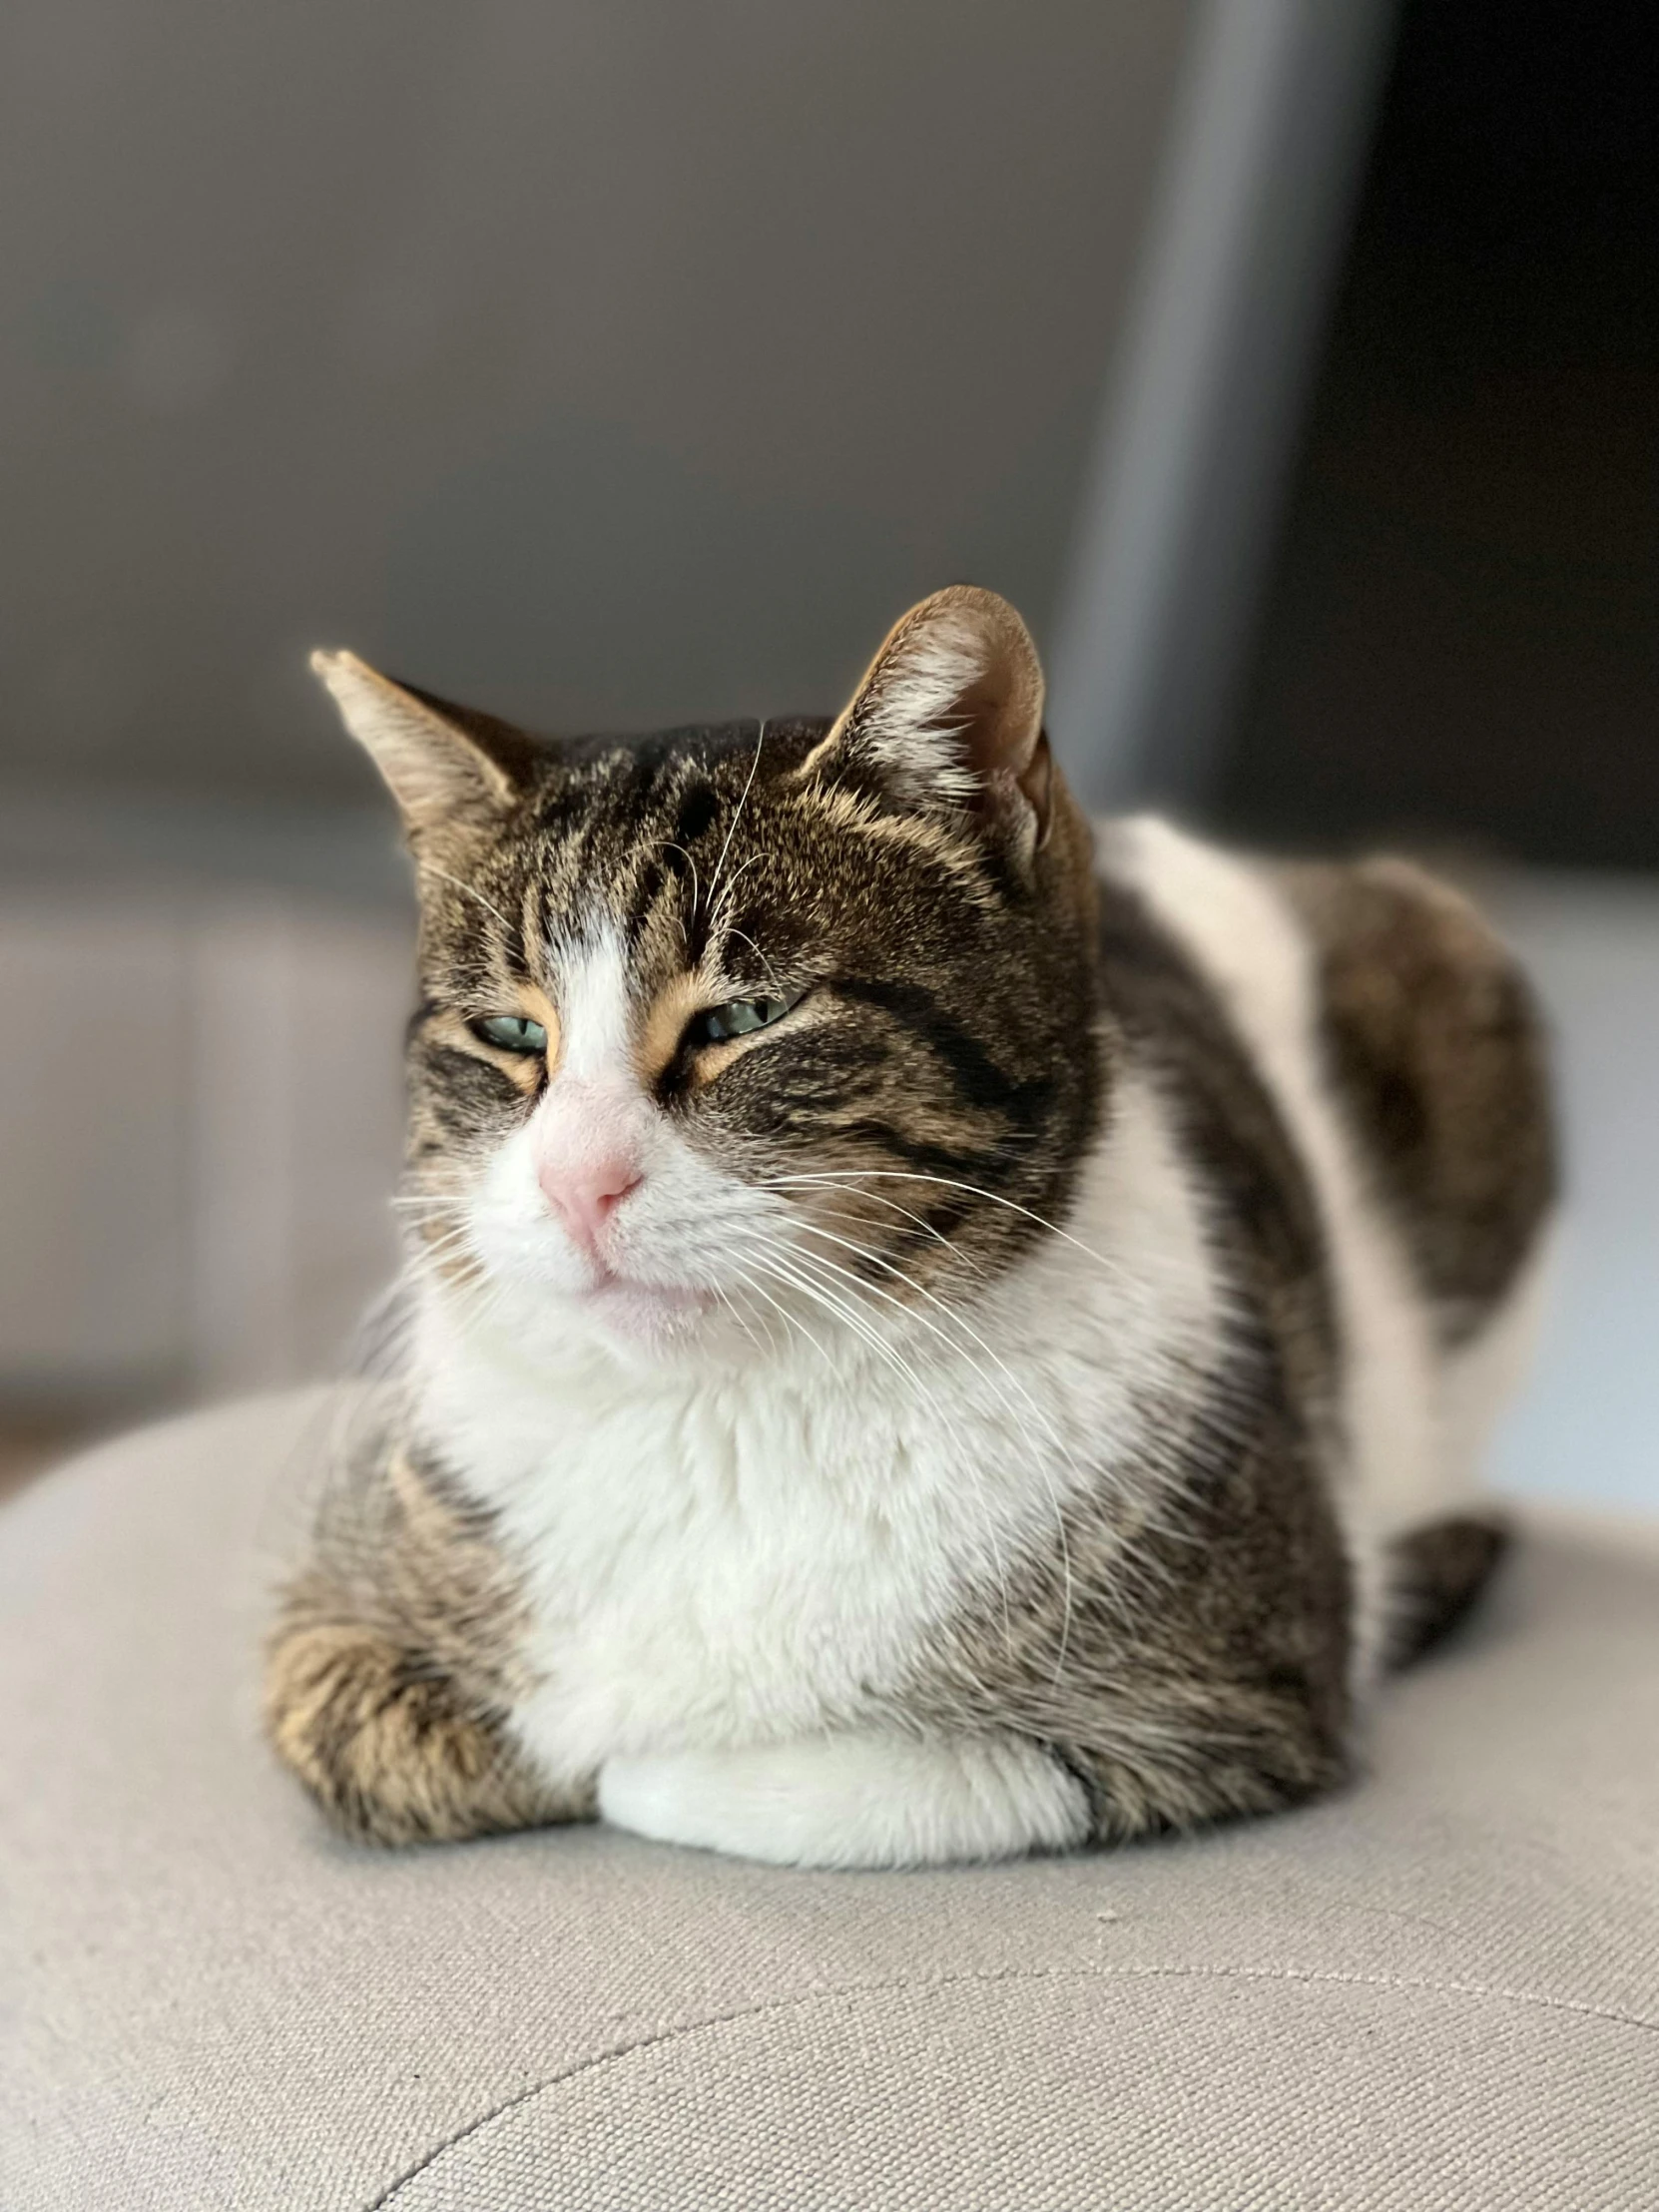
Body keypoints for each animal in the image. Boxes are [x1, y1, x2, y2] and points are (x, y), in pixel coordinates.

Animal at [263, 584, 1557, 1867]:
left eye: (746, 1016)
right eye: (510, 1033)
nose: (581, 1183)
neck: (719, 1416)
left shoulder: (1240, 1688)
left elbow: (790, 1777)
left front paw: (647, 1754)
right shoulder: (332, 1601)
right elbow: (345, 1732)